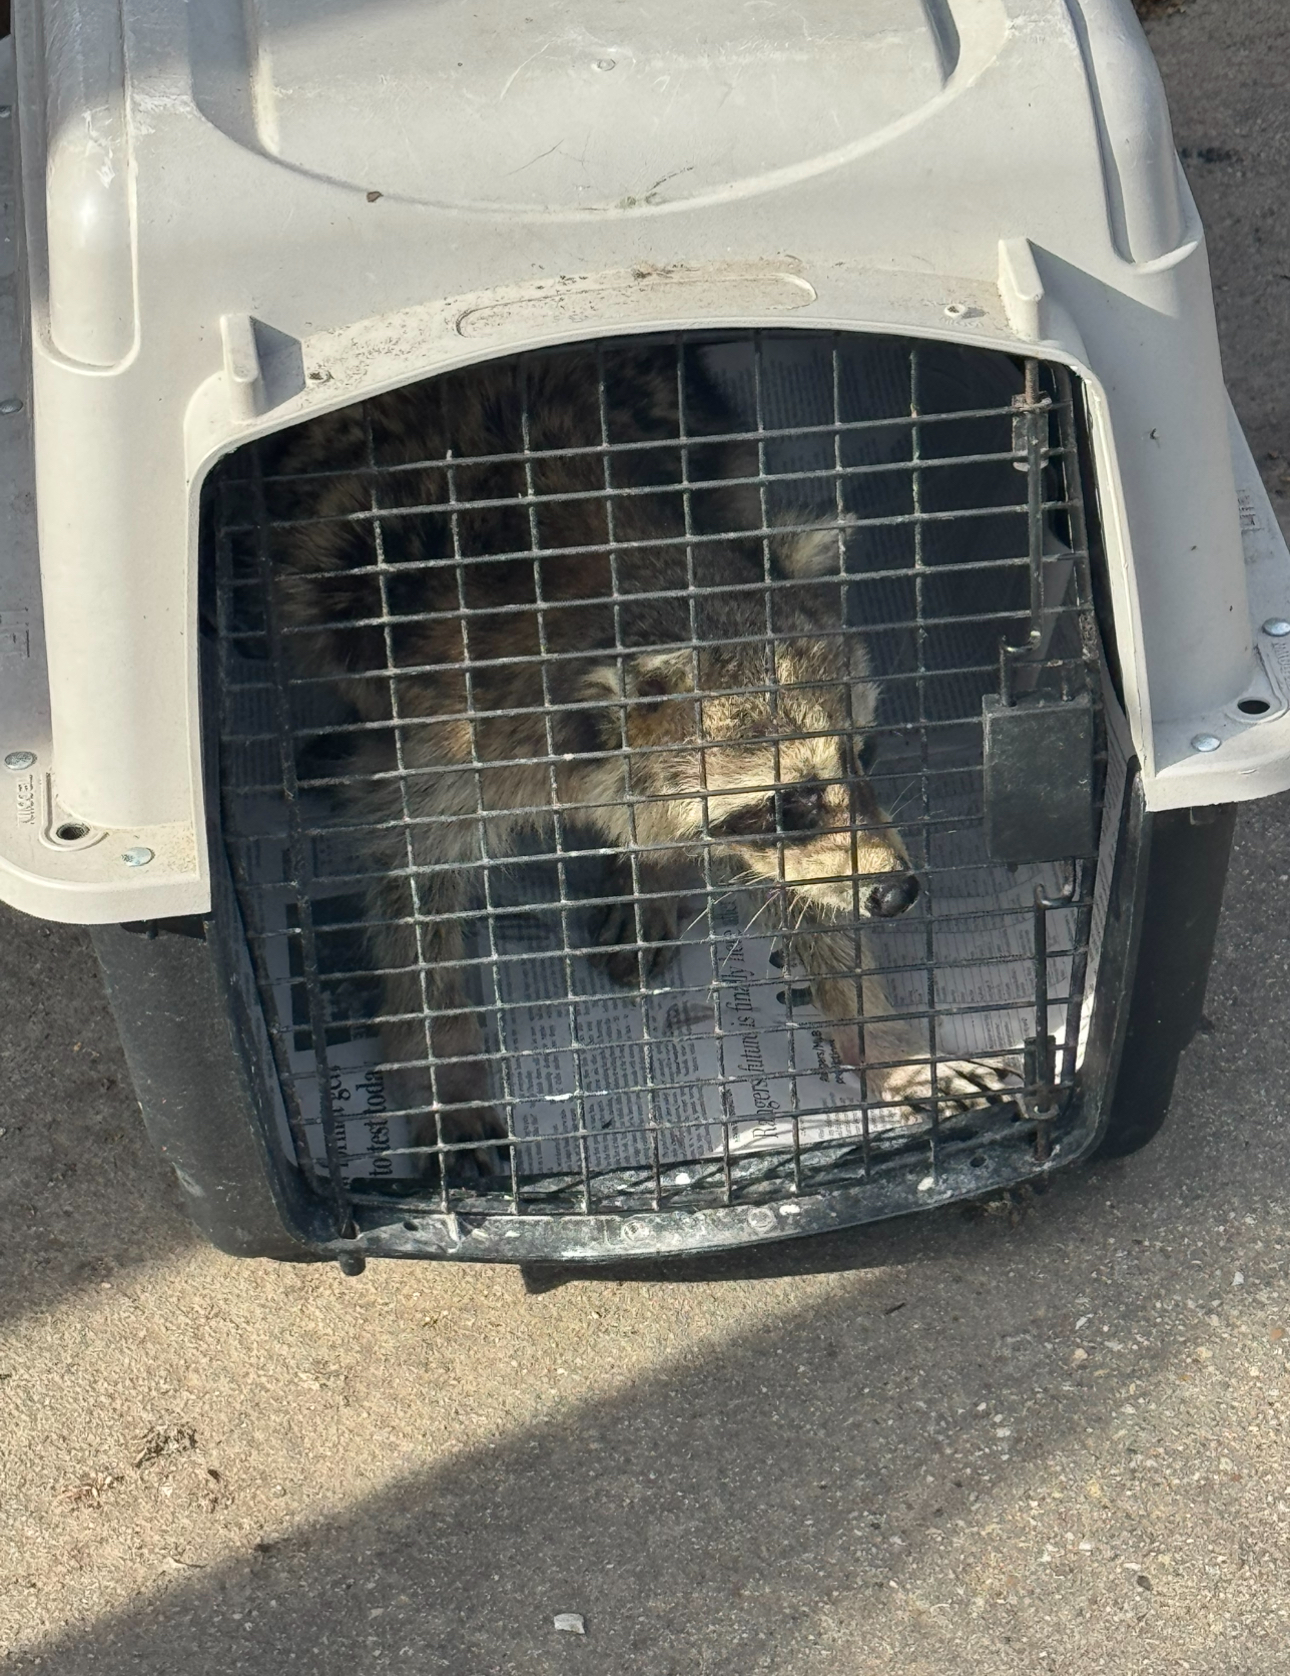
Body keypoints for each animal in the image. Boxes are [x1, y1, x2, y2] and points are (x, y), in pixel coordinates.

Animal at [261, 346, 1011, 1171]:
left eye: (865, 752)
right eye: (791, 799)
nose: (897, 893)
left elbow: (804, 896)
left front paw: (884, 1039)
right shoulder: (447, 736)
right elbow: (411, 887)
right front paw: (441, 1064)